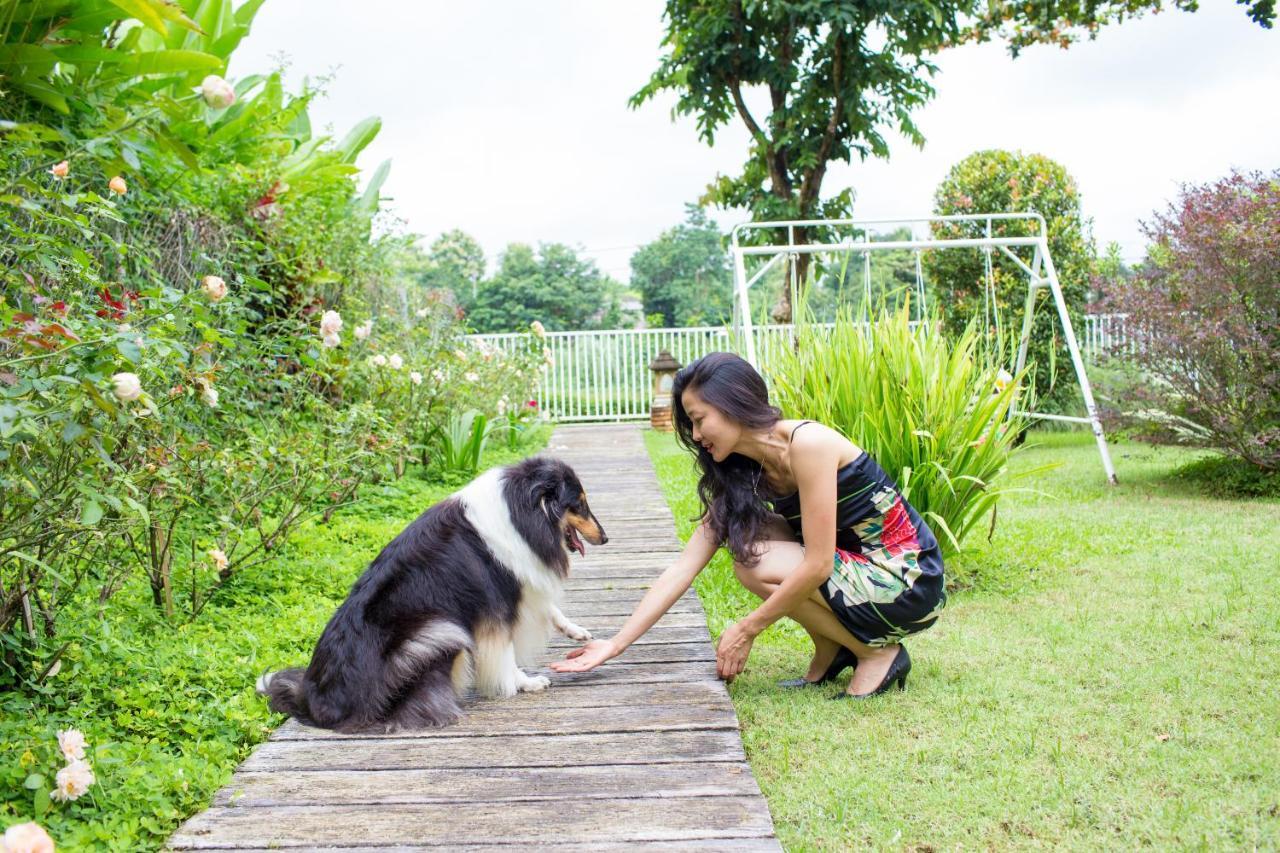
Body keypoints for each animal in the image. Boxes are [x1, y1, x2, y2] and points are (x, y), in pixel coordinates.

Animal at [257, 458, 606, 732]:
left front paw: (576, 631)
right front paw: (524, 683)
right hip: (438, 630)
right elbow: (506, 653)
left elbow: (550, 608)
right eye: (579, 504)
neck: (519, 513)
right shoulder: (496, 604)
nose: (605, 537)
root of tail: (314, 702)